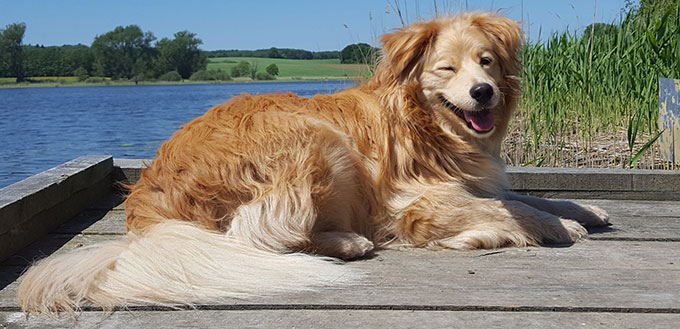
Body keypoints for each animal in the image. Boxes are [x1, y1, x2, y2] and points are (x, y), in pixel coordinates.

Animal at [17, 12, 612, 312]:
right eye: (446, 68)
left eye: (486, 61)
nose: (483, 92)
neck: (422, 120)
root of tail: (149, 198)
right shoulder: (413, 202)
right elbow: (505, 210)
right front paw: (549, 228)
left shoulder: (473, 182)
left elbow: (519, 195)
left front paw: (582, 209)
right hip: (315, 140)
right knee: (257, 239)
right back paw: (346, 242)